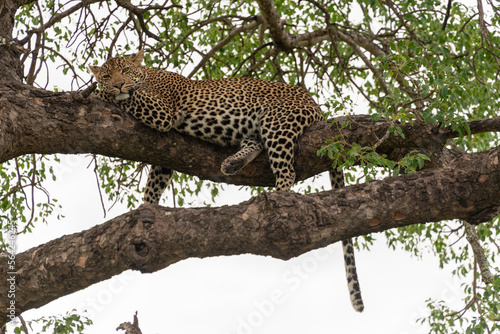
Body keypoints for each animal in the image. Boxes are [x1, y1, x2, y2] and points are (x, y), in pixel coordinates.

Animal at [89, 49, 364, 314]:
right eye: (107, 75)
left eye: (125, 70)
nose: (117, 84)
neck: (147, 75)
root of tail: (316, 105)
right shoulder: (162, 156)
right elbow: (154, 183)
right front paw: (147, 207)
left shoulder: (162, 112)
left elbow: (130, 98)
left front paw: (101, 94)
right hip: (255, 129)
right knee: (256, 144)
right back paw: (233, 163)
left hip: (278, 124)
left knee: (287, 171)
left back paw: (276, 198)